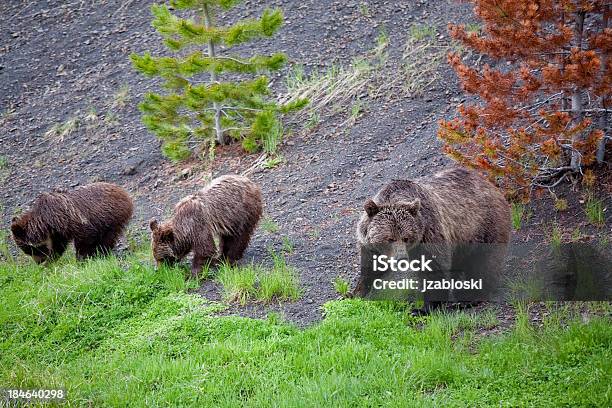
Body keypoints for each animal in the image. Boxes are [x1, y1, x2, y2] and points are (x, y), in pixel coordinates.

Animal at [352, 167, 510, 310]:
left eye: (406, 238)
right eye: (389, 238)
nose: (401, 258)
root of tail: (490, 185)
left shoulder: (428, 233)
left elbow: (433, 269)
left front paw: (423, 308)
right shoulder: (369, 245)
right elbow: (370, 267)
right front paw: (356, 293)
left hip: (484, 226)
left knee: (483, 263)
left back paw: (468, 299)